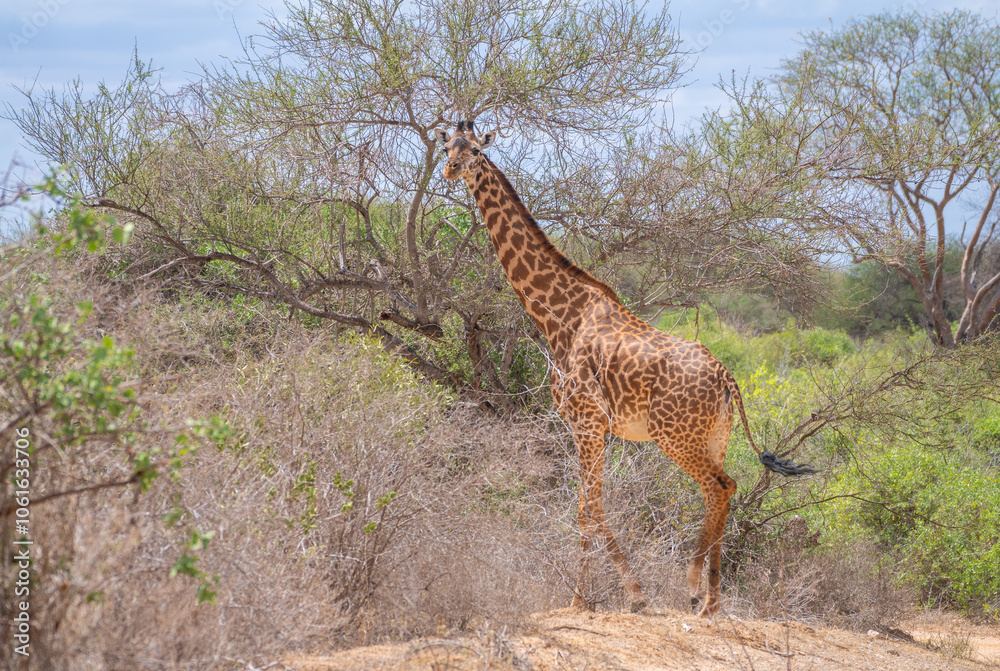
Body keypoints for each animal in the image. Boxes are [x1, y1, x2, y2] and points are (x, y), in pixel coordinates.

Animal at [435, 120, 815, 617]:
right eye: (446, 146)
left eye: (477, 151)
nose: (450, 169)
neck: (559, 316)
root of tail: (726, 377)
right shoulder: (585, 425)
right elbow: (587, 506)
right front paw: (603, 594)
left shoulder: (587, 420)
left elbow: (589, 507)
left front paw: (602, 596)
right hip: (716, 435)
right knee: (724, 489)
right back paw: (711, 602)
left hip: (676, 436)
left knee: (720, 487)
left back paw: (693, 586)